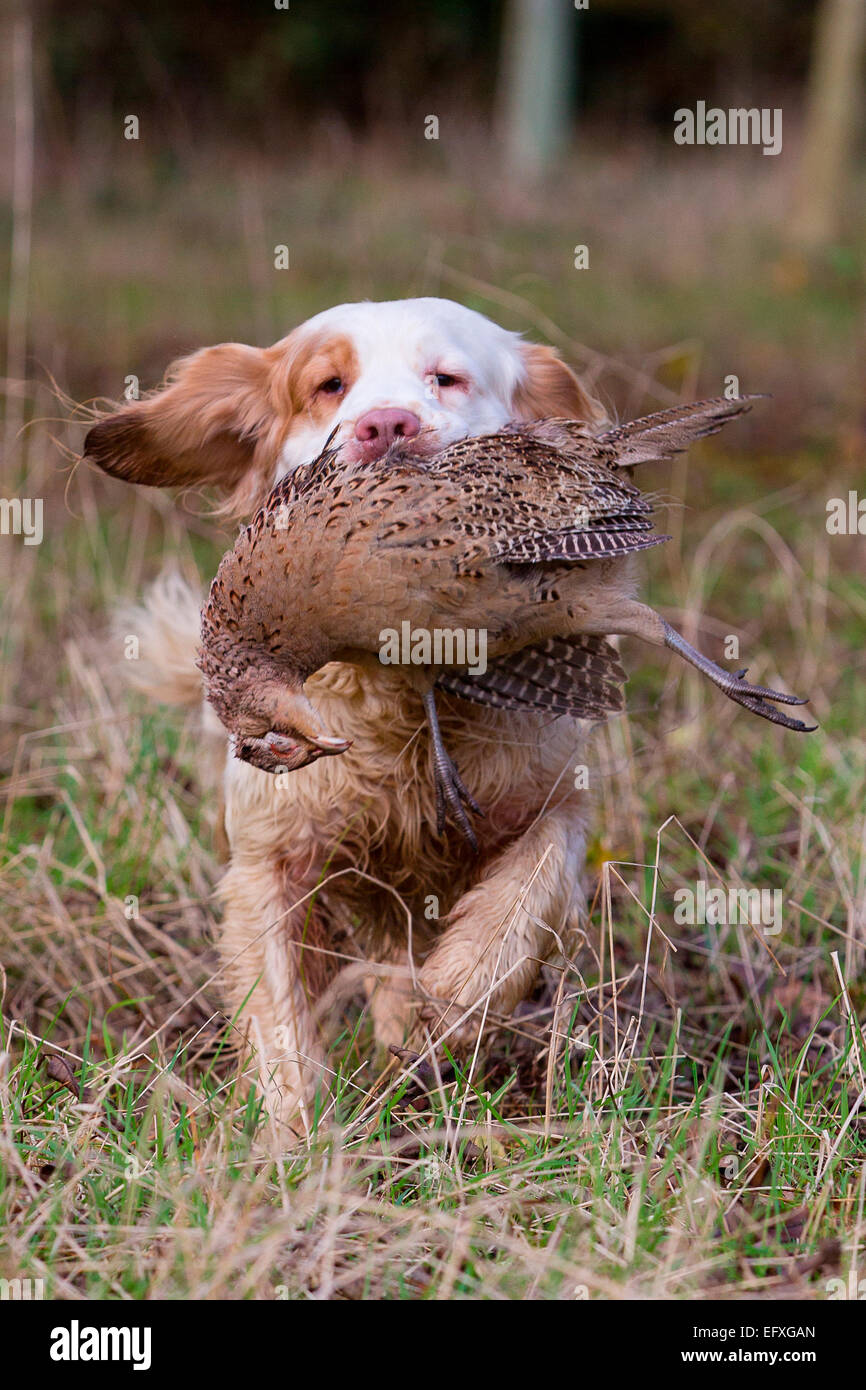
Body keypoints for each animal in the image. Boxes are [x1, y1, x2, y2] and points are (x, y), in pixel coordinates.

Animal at [84, 293, 606, 1128]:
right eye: (329, 385)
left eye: (446, 378)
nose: (386, 426)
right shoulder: (269, 859)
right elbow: (279, 1021)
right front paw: (295, 1139)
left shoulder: (557, 799)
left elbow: (526, 892)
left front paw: (450, 996)